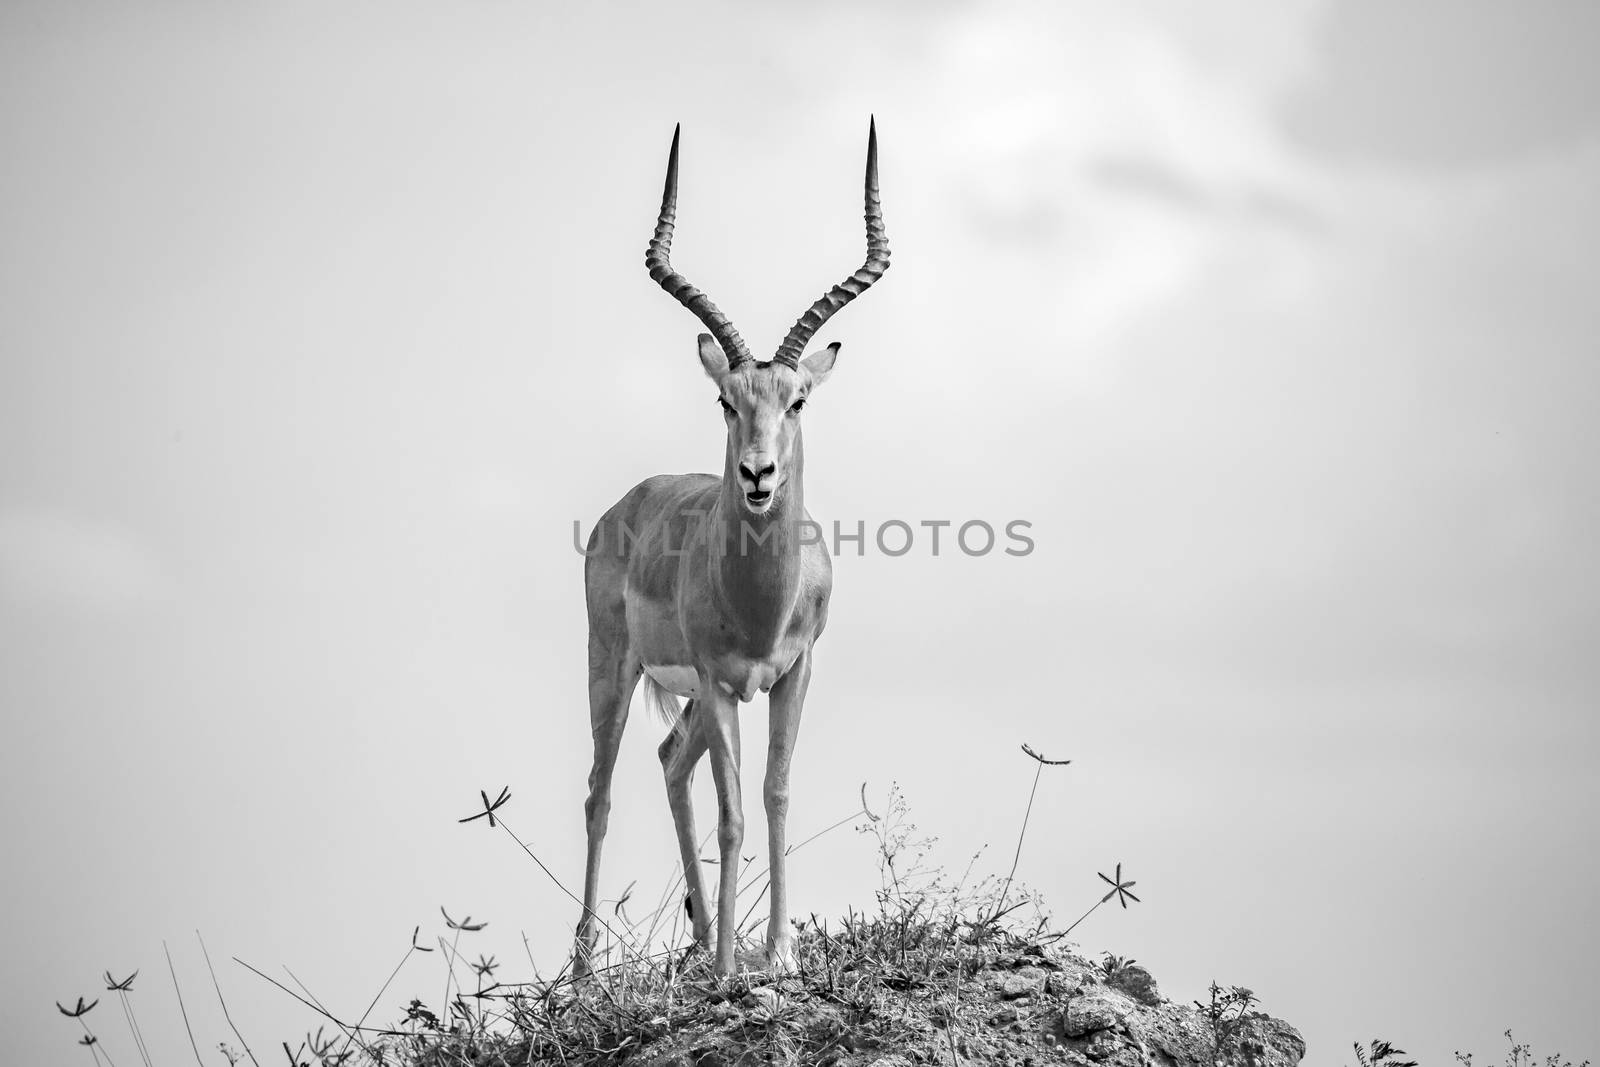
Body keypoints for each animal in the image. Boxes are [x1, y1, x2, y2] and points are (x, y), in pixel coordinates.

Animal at [579, 119, 889, 979]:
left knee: (666, 760)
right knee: (600, 792)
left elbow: (774, 797)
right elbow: (731, 813)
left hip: (685, 700)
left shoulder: (793, 674)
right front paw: (729, 969)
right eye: (725, 398)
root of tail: (628, 501)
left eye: (798, 398)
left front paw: (775, 954)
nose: (757, 474)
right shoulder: (721, 681)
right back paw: (582, 974)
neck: (757, 601)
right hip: (614, 667)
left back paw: (696, 941)